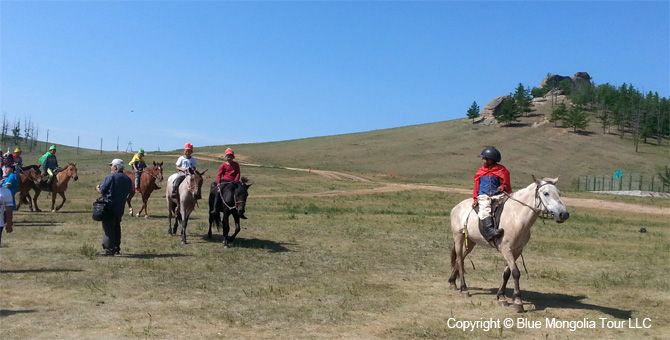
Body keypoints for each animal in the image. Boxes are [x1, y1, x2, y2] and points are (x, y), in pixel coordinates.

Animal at [448, 177, 568, 312]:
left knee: (460, 259)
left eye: (559, 193)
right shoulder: (506, 249)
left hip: (471, 242)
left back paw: (452, 282)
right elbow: (515, 272)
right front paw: (518, 301)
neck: (516, 217)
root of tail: (457, 207)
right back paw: (464, 289)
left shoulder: (517, 250)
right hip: (458, 237)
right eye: (546, 193)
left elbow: (507, 273)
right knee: (459, 259)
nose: (564, 214)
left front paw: (501, 297)